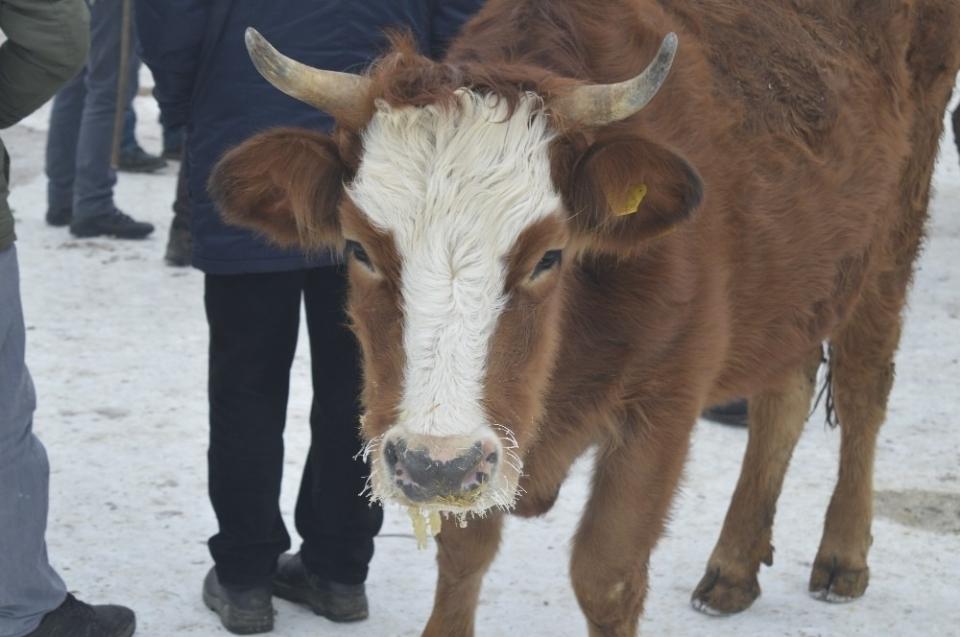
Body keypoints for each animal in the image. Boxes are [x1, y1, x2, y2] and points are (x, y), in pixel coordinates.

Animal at [206, 1, 956, 636]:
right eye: (359, 247)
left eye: (548, 256)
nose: (433, 464)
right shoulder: (485, 446)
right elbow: (463, 559)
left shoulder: (665, 402)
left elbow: (607, 574)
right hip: (799, 277)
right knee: (785, 394)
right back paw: (734, 566)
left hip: (889, 241)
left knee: (861, 389)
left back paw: (843, 555)